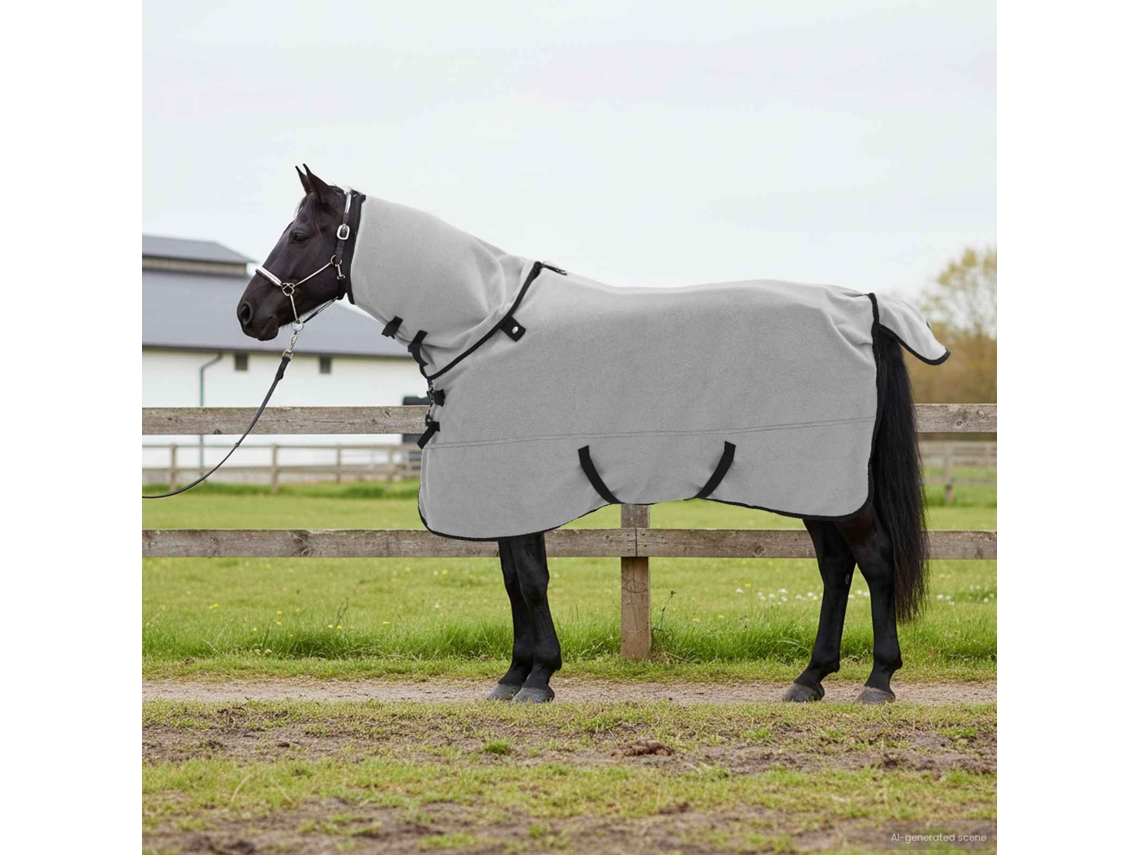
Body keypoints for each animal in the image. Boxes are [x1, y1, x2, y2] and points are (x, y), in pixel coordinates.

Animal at [237, 166, 942, 705]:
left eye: (299, 233)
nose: (248, 313)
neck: (486, 324)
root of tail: (864, 307)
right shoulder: (504, 496)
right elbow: (514, 580)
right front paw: (514, 676)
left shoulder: (522, 487)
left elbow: (530, 580)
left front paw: (538, 678)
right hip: (815, 489)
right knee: (836, 569)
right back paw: (810, 679)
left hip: (831, 486)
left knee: (876, 562)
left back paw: (877, 681)